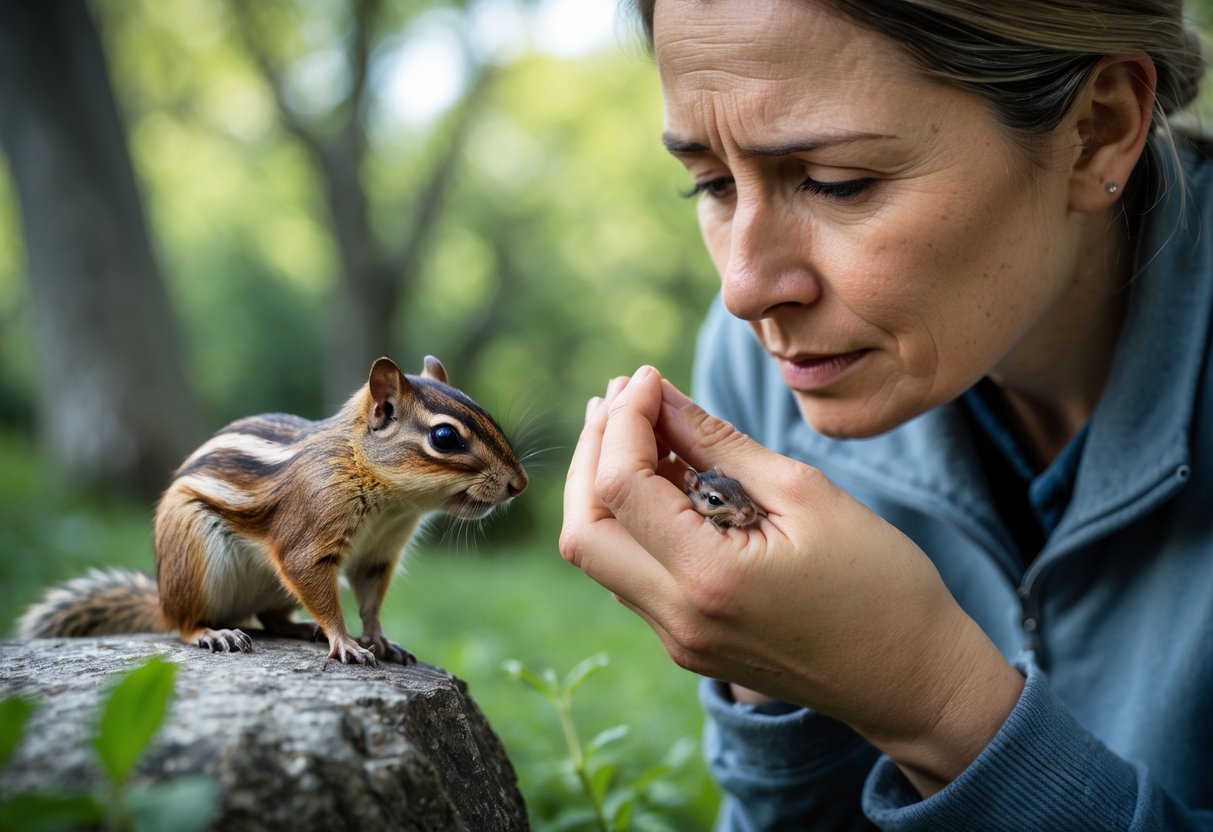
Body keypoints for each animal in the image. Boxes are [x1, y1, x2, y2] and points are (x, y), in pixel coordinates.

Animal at [16, 356, 527, 666]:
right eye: (445, 437)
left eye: (485, 412)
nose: (519, 485)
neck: (392, 501)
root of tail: (161, 599)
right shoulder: (310, 539)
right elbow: (320, 586)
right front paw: (345, 642)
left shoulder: (378, 556)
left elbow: (370, 602)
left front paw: (380, 641)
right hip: (193, 562)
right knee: (182, 625)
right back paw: (214, 633)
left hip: (272, 590)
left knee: (269, 619)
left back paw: (302, 629)